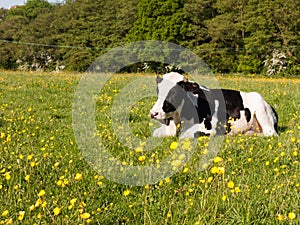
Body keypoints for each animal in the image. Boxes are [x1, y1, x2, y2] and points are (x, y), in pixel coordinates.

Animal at [150, 72, 278, 139]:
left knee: (270, 134)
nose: (153, 113)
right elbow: (155, 133)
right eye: (158, 90)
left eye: (175, 92)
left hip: (263, 114)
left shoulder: (210, 129)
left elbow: (186, 135)